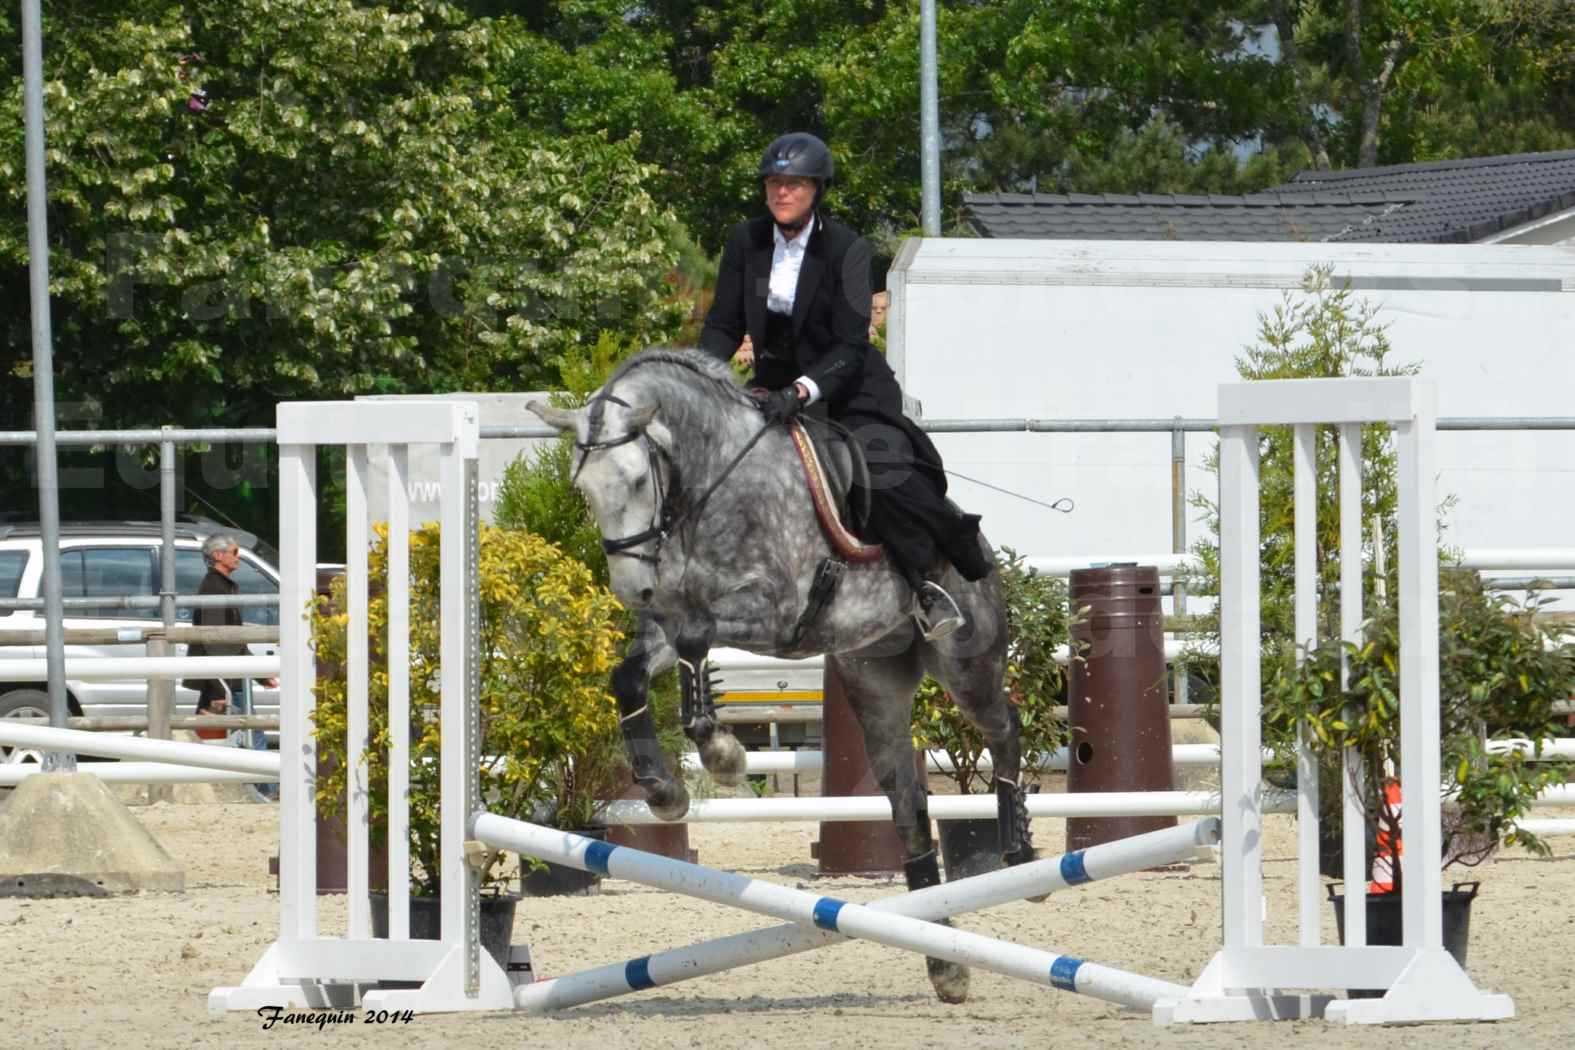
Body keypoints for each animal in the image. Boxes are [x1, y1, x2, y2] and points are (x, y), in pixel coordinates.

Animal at [532, 351, 1033, 1001]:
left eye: (639, 481)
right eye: (584, 488)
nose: (633, 590)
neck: (709, 482)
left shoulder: (776, 611)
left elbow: (698, 640)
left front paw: (722, 754)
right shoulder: (672, 621)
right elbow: (634, 675)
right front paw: (664, 789)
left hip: (967, 664)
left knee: (1005, 726)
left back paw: (1019, 850)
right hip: (875, 683)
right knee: (908, 800)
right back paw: (943, 960)